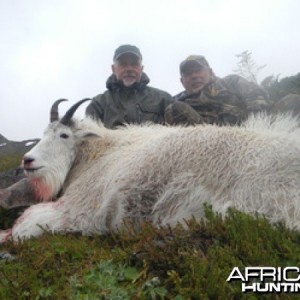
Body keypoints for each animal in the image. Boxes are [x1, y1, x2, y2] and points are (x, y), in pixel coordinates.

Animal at [0, 99, 300, 244]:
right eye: (43, 134)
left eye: (63, 135)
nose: (27, 160)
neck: (99, 153)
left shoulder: (81, 207)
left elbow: (27, 224)